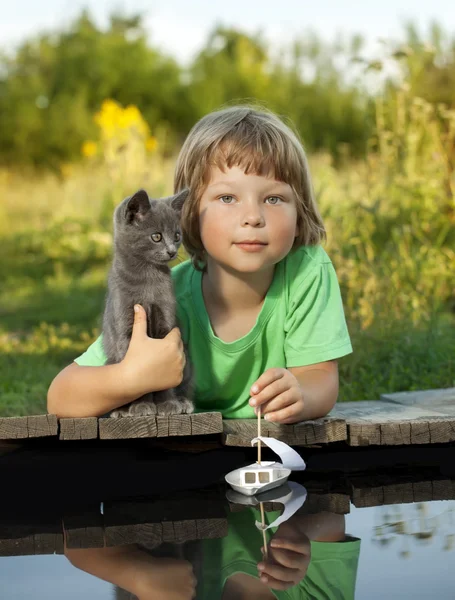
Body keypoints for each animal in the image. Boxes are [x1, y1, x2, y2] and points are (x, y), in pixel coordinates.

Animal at [103, 188, 194, 418]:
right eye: (156, 236)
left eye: (177, 235)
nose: (172, 251)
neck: (148, 280)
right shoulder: (125, 326)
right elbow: (139, 374)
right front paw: (141, 406)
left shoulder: (166, 320)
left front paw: (167, 404)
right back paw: (121, 410)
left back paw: (183, 402)